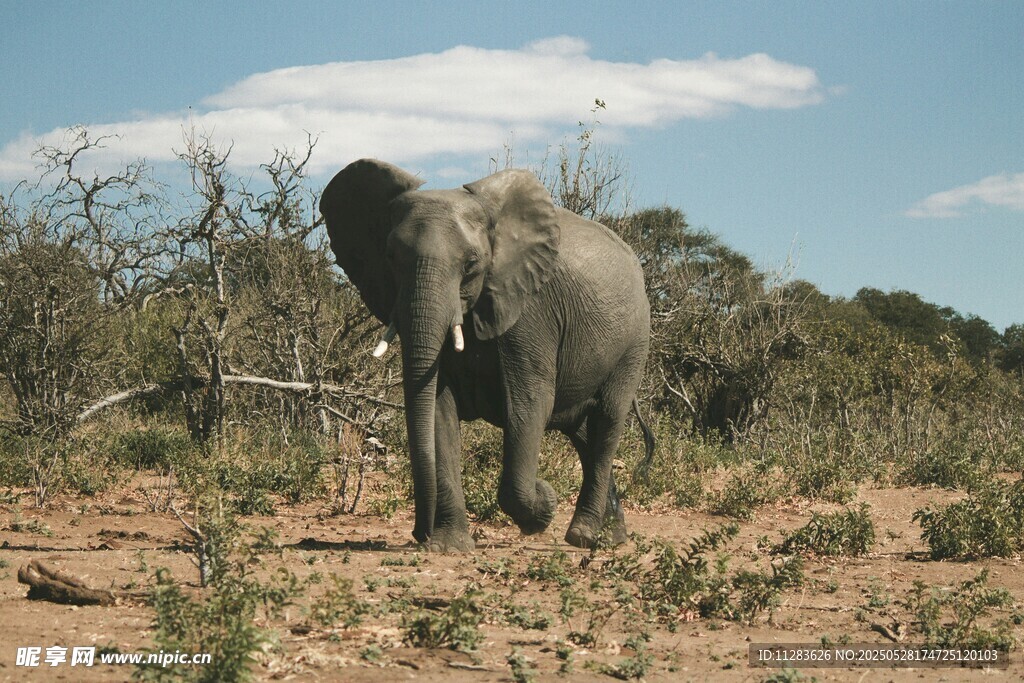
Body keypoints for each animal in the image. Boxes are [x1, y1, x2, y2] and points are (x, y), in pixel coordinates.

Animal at [320, 159, 652, 551]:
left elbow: (528, 405)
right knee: (583, 432)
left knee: (607, 420)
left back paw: (583, 536)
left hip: (635, 340)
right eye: (390, 258)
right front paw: (448, 546)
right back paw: (612, 538)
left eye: (471, 264)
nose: (418, 532)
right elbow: (437, 408)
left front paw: (543, 505)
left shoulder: (530, 312)